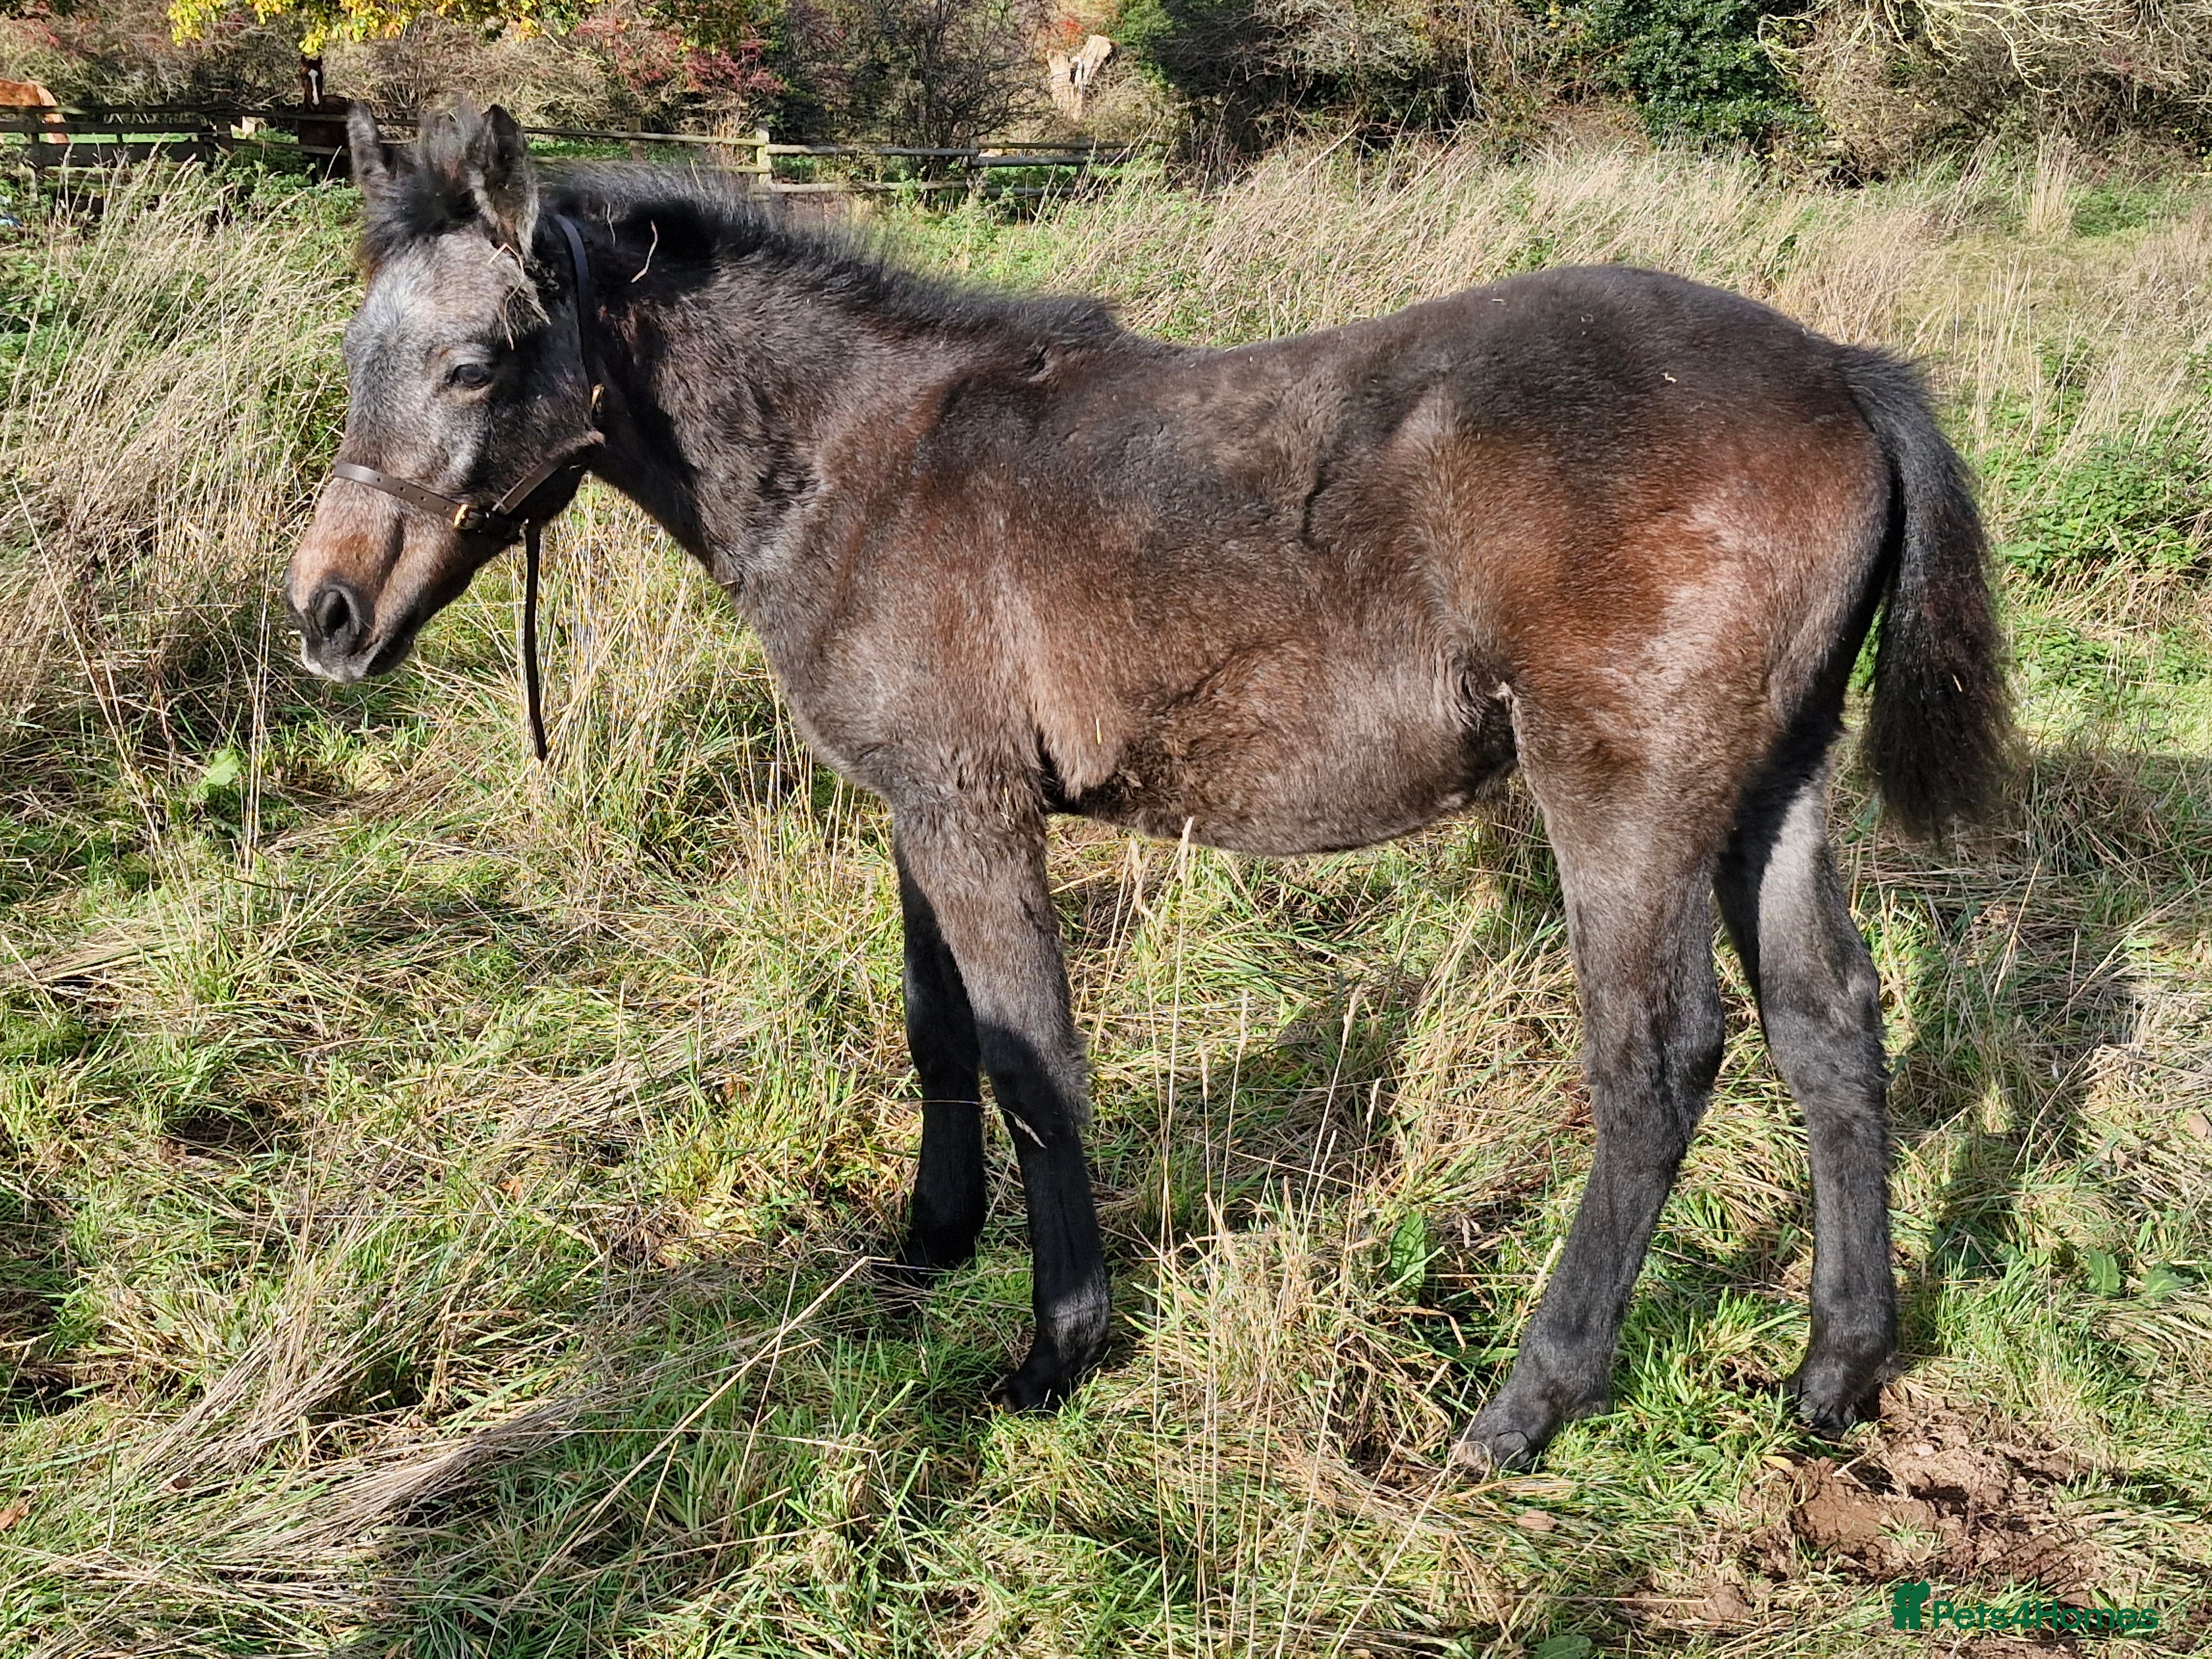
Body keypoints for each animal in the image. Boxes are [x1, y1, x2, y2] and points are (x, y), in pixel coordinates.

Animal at [286, 100, 2009, 1473]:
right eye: (356, 358)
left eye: (473, 362)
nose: (325, 615)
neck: (866, 462)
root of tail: (1840, 371)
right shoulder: (918, 806)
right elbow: (939, 1036)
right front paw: (924, 1249)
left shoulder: (973, 813)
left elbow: (1034, 1061)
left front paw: (1057, 1345)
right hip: (1771, 781)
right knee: (1829, 1026)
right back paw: (1836, 1371)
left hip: (1624, 797)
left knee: (1657, 1063)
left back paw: (1524, 1409)